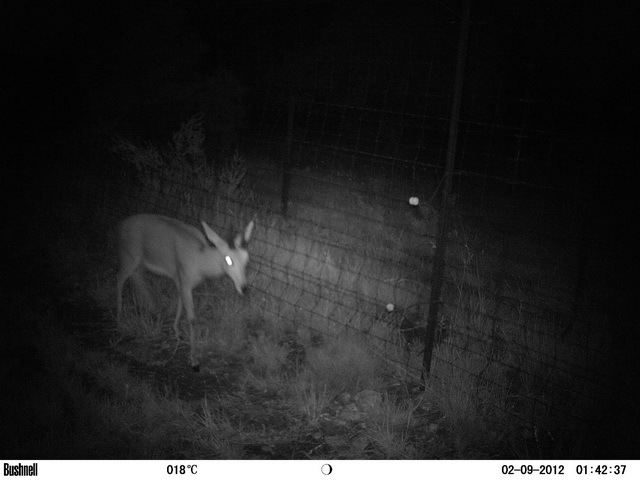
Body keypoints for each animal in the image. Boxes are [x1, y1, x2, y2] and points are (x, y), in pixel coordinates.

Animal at [115, 214, 255, 372]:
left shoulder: (180, 280)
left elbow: (180, 303)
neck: (200, 262)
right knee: (119, 279)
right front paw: (194, 361)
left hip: (138, 262)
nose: (244, 288)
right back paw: (120, 317)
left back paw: (153, 310)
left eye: (246, 259)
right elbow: (192, 319)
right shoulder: (185, 282)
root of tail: (120, 225)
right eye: (228, 259)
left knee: (137, 279)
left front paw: (177, 332)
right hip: (129, 257)